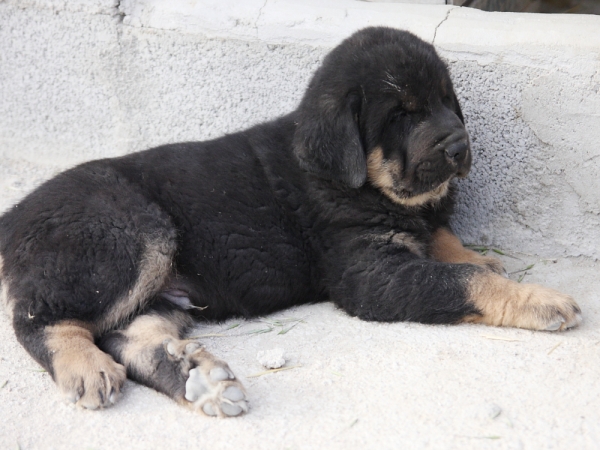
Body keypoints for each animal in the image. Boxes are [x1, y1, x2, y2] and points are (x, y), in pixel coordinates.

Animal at [1, 27, 580, 414]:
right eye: (402, 114)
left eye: (445, 101)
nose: (460, 146)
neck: (357, 182)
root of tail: (18, 214)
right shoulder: (370, 275)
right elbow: (460, 281)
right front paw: (539, 299)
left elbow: (442, 237)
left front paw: (476, 255)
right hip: (129, 234)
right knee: (38, 316)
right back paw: (86, 366)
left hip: (157, 288)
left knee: (131, 337)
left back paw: (198, 379)